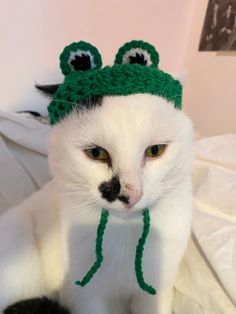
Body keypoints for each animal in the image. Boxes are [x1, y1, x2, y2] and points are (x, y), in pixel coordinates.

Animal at [0, 94, 193, 314]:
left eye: (155, 150)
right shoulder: (83, 296)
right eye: (95, 153)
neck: (124, 230)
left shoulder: (157, 288)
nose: (131, 196)